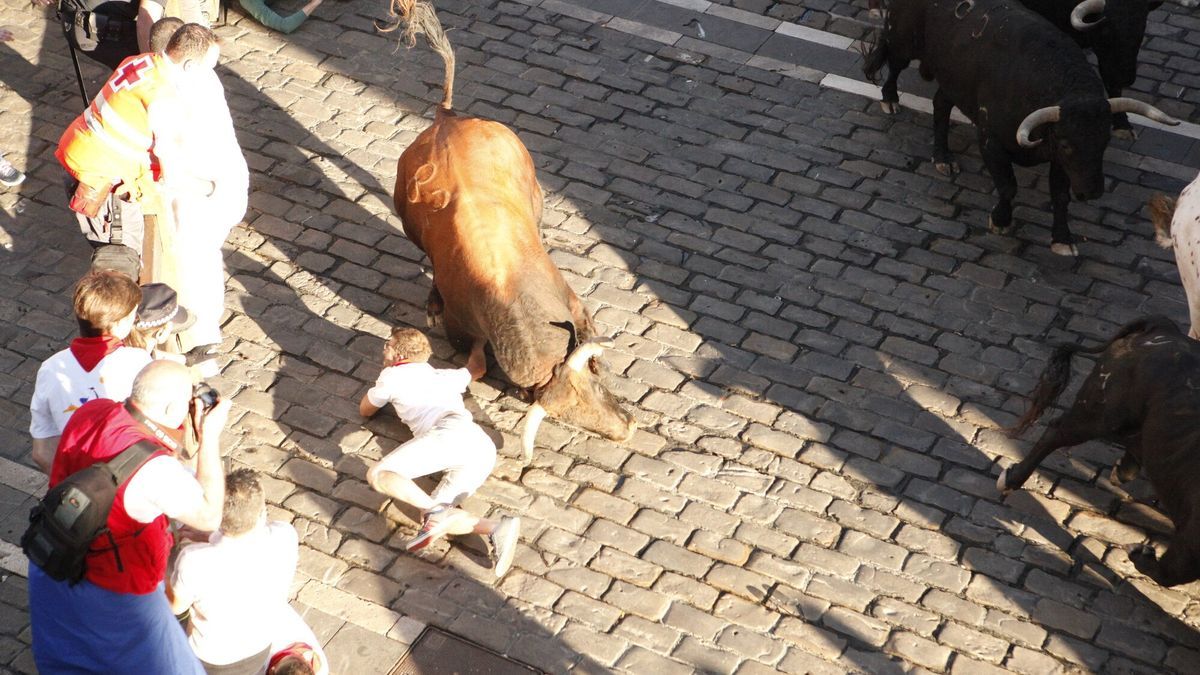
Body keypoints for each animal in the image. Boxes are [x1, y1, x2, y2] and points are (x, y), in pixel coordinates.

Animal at [386, 0, 633, 456]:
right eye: (568, 418)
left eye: (594, 382)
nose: (628, 427)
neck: (508, 299)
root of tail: (446, 120)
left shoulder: (574, 303)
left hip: (536, 194)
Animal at [859, 0, 1176, 254]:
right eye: (1067, 144)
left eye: (1103, 143)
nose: (1092, 191)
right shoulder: (991, 142)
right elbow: (1008, 186)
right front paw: (1001, 221)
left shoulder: (1058, 161)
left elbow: (1060, 196)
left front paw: (1062, 239)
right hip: (904, 40)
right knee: (894, 62)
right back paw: (890, 99)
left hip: (953, 81)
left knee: (940, 105)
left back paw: (943, 157)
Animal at [998, 314, 1200, 583]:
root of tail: (1163, 328)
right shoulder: (1191, 542)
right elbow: (1170, 572)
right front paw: (1139, 551)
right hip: (1099, 414)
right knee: (1056, 431)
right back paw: (1010, 480)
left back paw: (1121, 471)